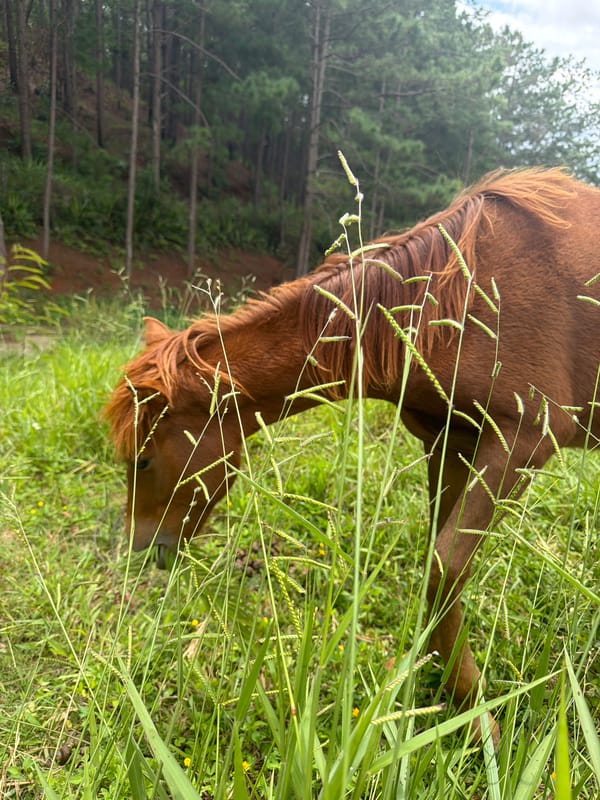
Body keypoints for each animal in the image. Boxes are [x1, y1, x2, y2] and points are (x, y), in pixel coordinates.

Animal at [105, 167, 600, 743]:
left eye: (142, 459)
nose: (142, 547)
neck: (456, 293)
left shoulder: (522, 441)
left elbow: (444, 568)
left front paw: (479, 720)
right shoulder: (451, 442)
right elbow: (438, 566)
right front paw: (439, 684)